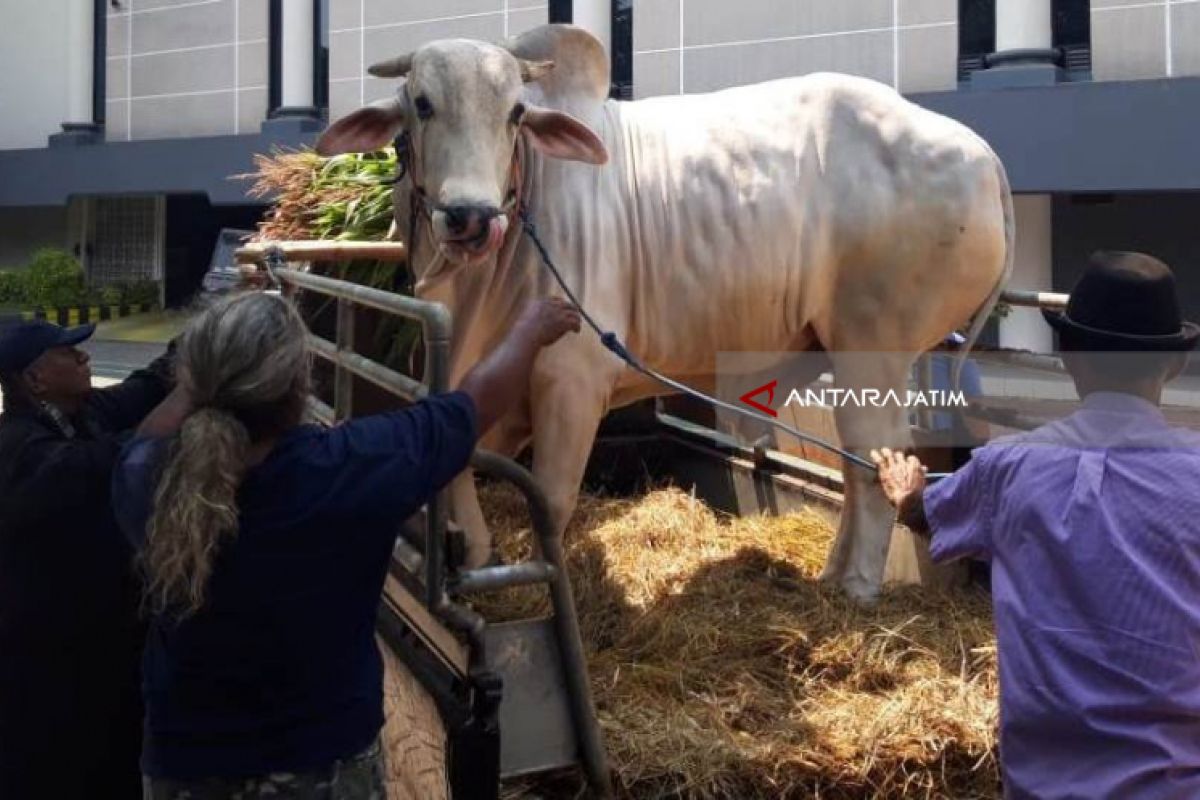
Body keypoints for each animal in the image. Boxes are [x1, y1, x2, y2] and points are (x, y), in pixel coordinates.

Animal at [319, 25, 1012, 599]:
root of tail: (981, 151)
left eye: (515, 112)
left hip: (874, 344)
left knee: (873, 461)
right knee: (854, 460)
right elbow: (460, 463)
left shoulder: (571, 382)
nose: (471, 216)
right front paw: (477, 551)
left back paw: (855, 589)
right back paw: (832, 574)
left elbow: (552, 500)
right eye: (422, 103)